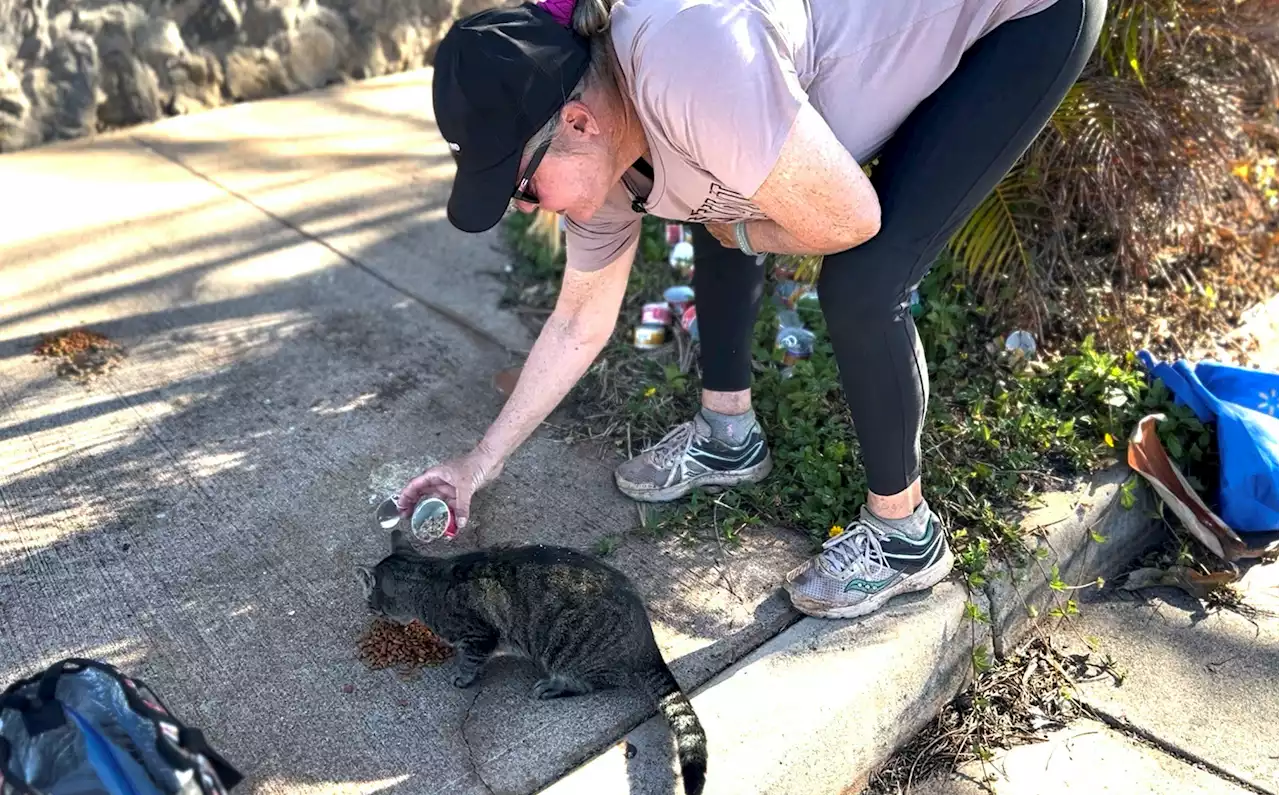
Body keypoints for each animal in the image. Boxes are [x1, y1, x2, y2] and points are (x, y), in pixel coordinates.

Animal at [355, 532, 711, 793]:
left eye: (372, 603)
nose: (372, 611)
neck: (429, 579)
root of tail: (646, 642)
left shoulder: (479, 636)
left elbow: (471, 661)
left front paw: (462, 676)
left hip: (566, 650)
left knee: (599, 681)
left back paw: (554, 687)